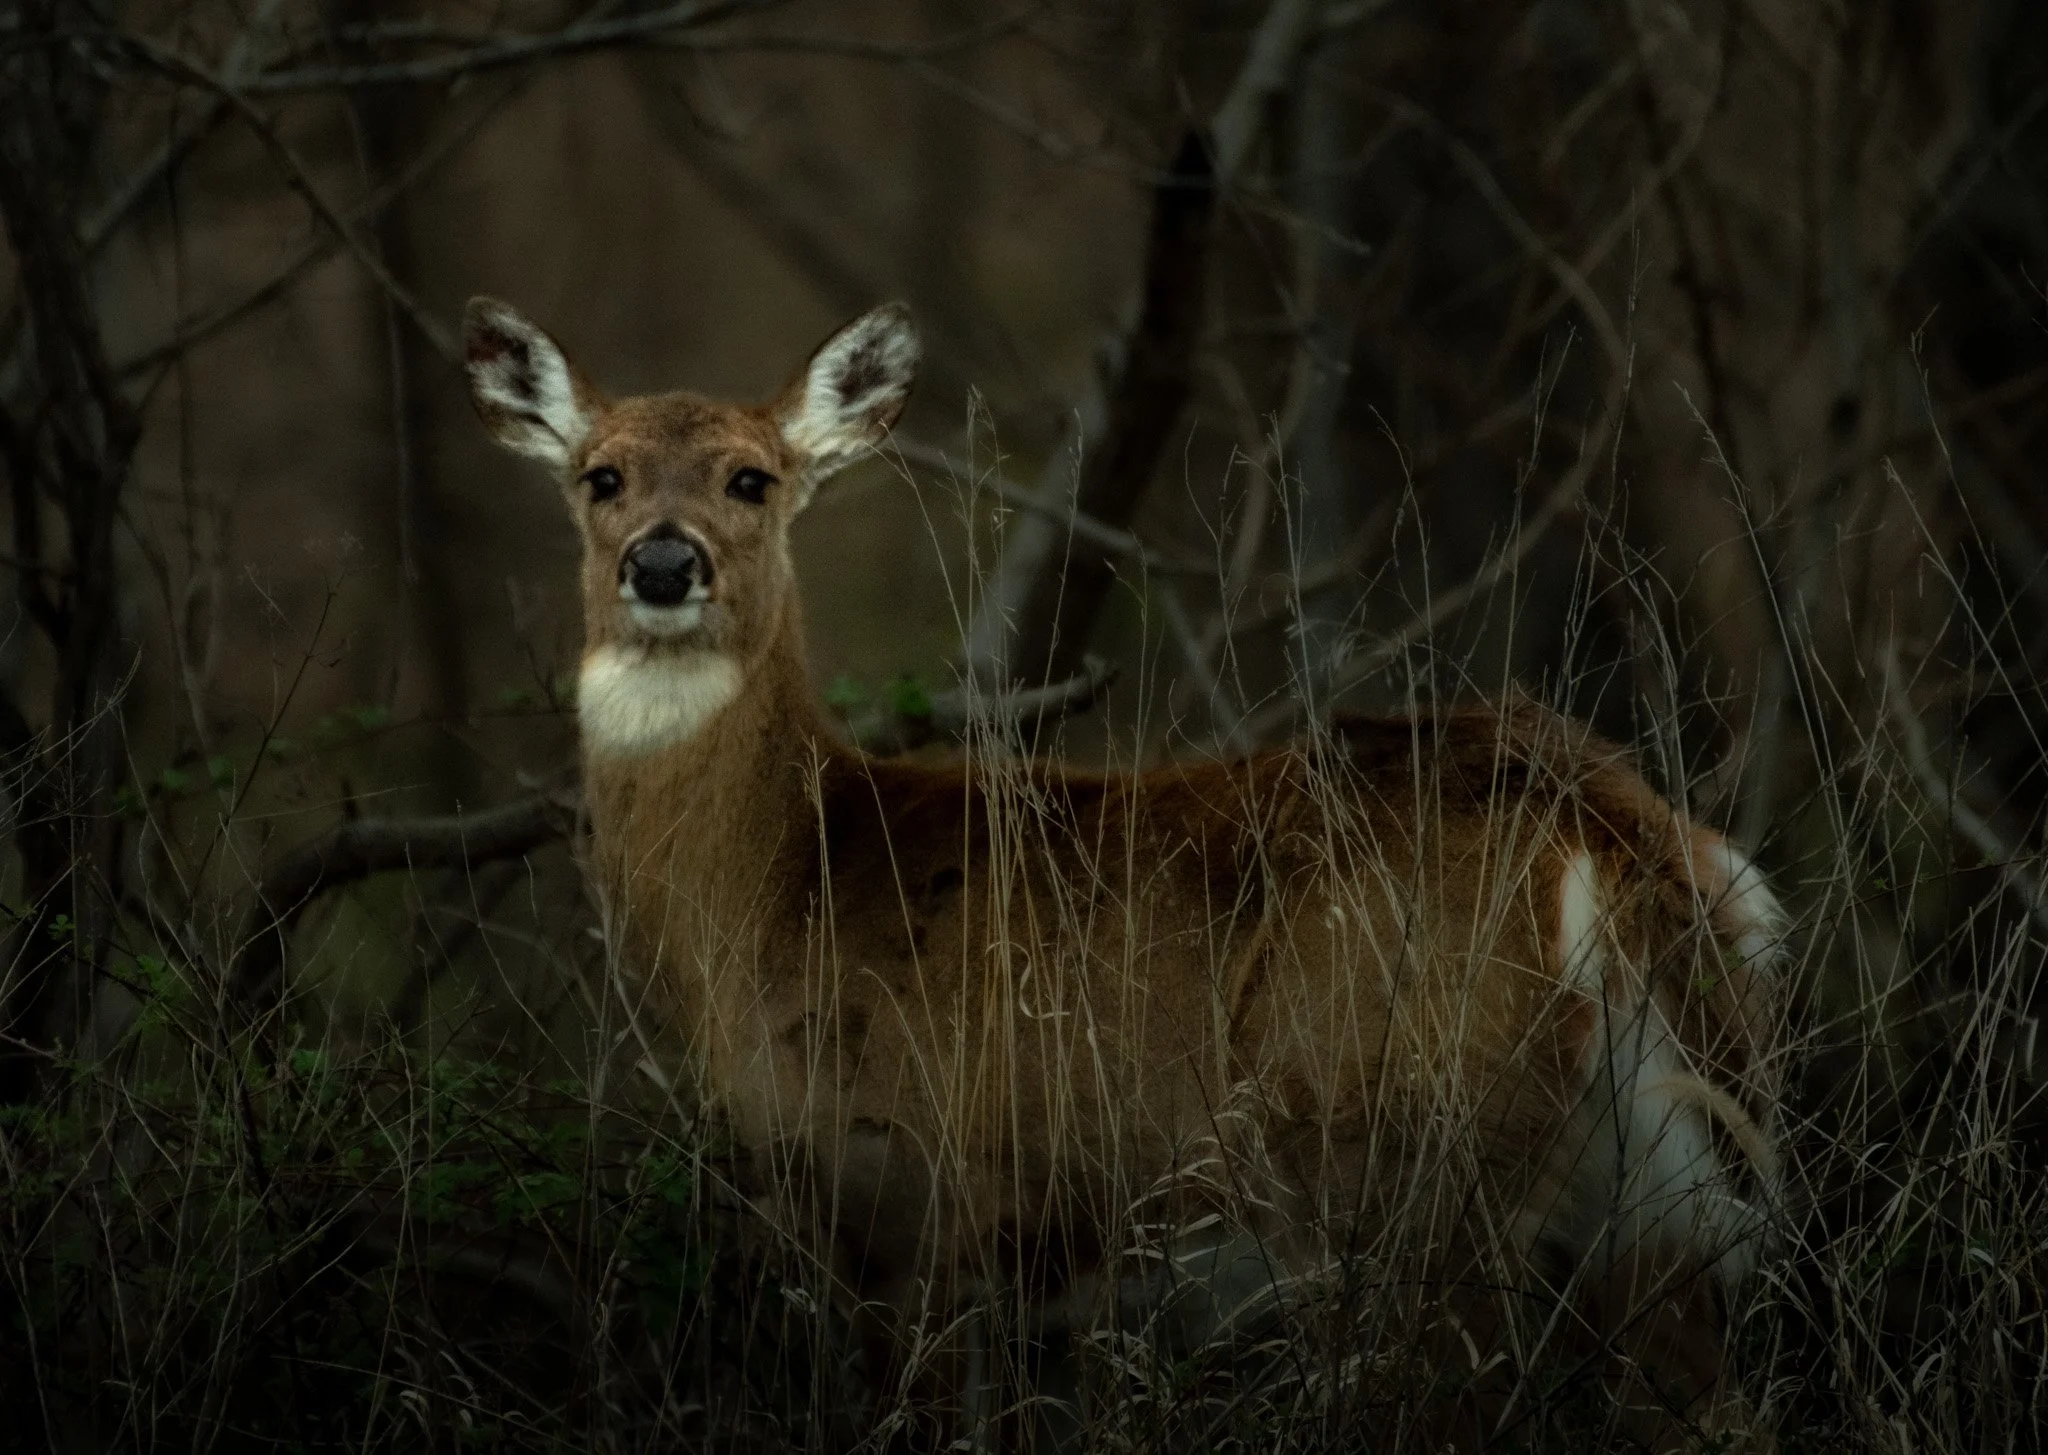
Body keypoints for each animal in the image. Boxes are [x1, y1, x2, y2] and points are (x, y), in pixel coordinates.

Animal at [464, 294, 1785, 1448]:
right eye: (599, 475)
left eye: (754, 476)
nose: (663, 562)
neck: (789, 876)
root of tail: (1610, 831)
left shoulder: (911, 1195)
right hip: (1644, 1183)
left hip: (1403, 1155)